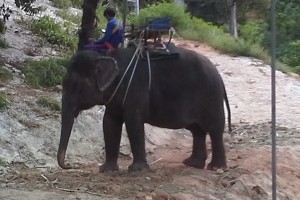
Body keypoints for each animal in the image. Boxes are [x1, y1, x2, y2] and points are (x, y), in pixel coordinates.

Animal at [57, 43, 231, 172]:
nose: (69, 165)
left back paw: (216, 168)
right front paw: (106, 170)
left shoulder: (135, 88)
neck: (106, 55)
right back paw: (192, 164)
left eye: (76, 86)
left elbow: (133, 121)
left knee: (214, 130)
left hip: (212, 97)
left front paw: (137, 171)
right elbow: (109, 123)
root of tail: (219, 76)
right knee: (197, 130)